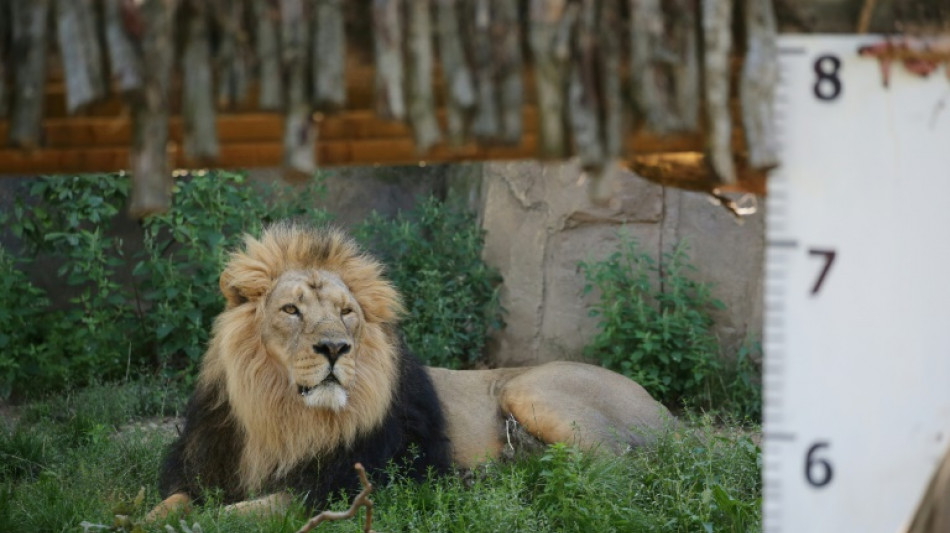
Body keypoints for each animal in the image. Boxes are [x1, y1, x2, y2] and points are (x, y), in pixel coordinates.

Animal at [149, 222, 671, 520]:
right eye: (291, 310)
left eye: (346, 313)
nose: (335, 348)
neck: (278, 413)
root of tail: (669, 414)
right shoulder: (202, 468)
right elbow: (171, 504)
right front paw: (142, 516)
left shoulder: (338, 489)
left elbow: (226, 517)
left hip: (529, 389)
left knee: (623, 474)